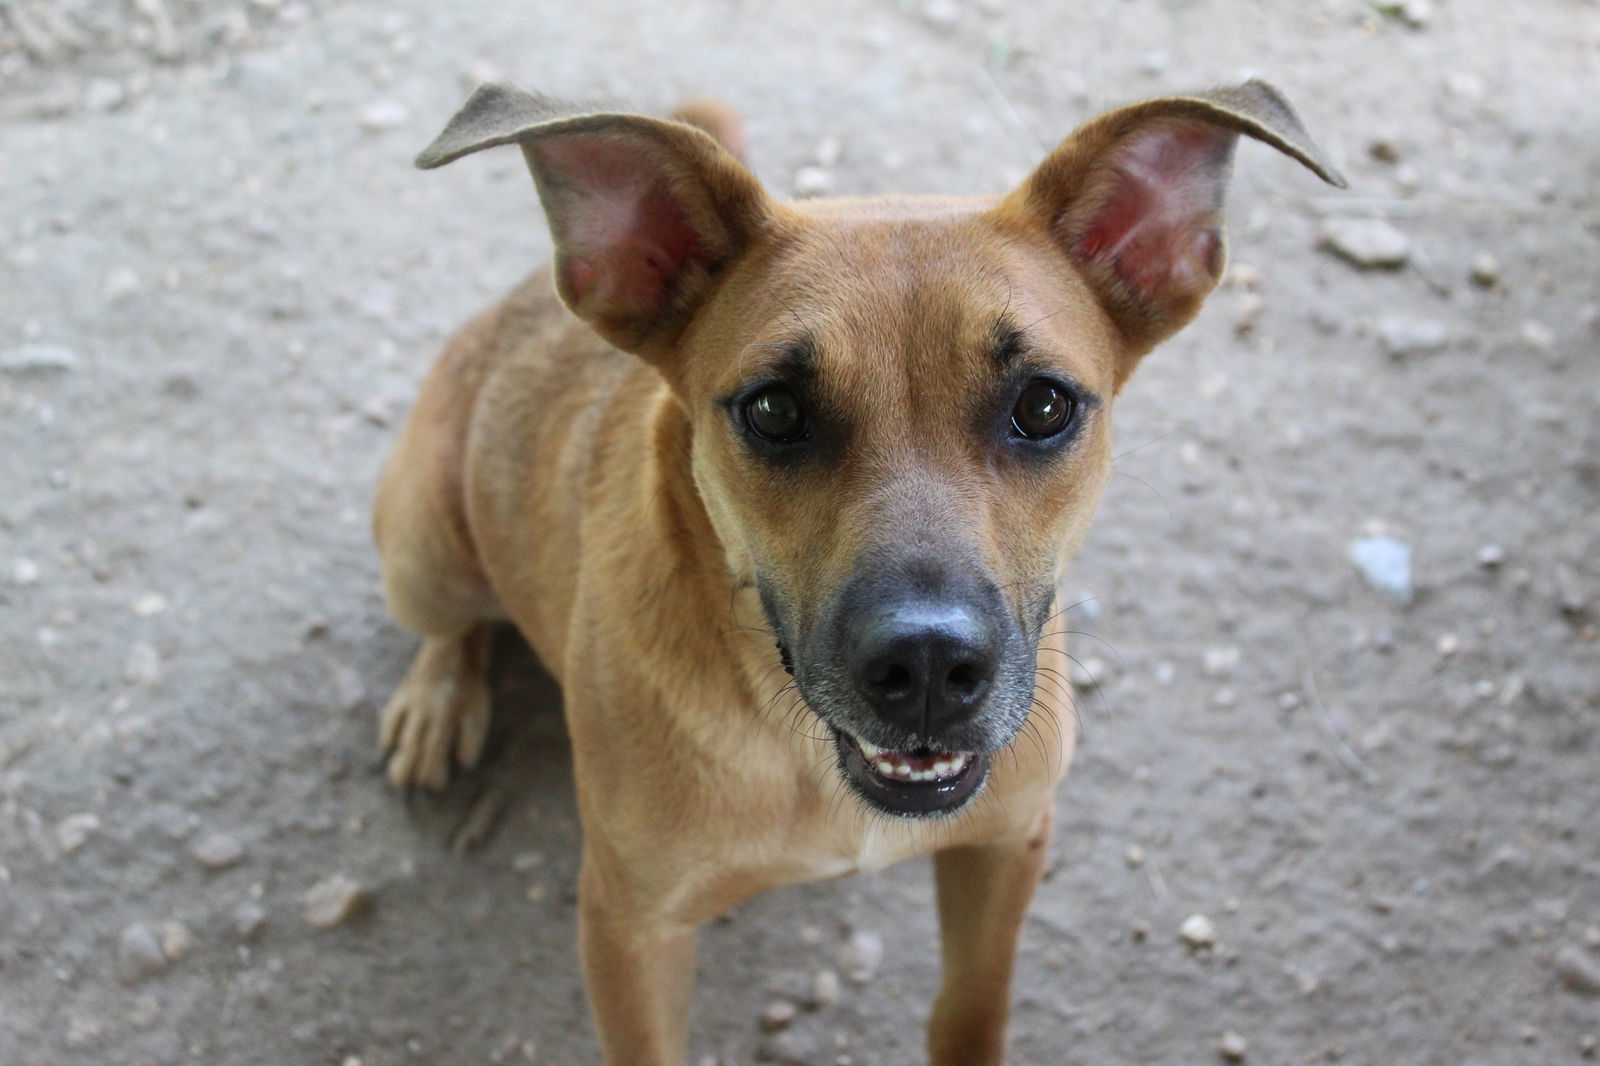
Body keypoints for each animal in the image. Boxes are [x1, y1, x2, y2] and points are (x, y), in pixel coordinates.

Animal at [371, 80, 1337, 1062]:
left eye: (1043, 405)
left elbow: (971, 1009)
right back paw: (437, 698)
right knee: (451, 625)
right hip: (423, 552)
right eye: (773, 409)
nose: (927, 669)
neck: (804, 752)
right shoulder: (630, 925)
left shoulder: (1009, 844)